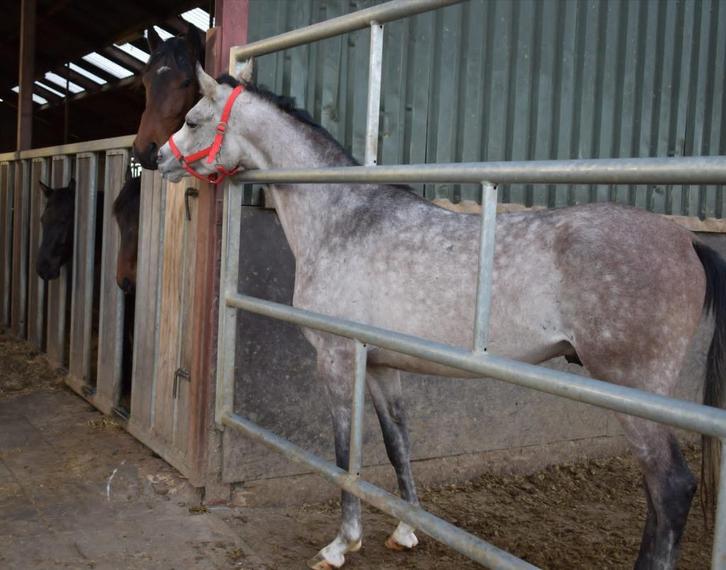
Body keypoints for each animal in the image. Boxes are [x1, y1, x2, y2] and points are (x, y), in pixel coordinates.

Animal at [157, 63, 725, 570]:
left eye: (193, 120)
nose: (157, 158)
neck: (343, 219)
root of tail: (687, 241)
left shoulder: (339, 359)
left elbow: (345, 452)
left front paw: (342, 544)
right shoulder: (383, 365)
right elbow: (397, 444)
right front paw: (406, 530)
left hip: (633, 390)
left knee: (671, 487)